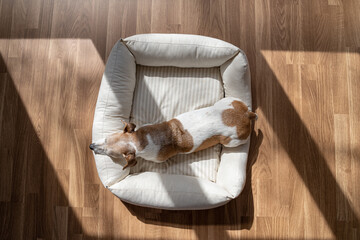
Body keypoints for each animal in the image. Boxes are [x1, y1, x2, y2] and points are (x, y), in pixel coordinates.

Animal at [91, 96, 258, 170]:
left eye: (110, 153)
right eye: (105, 139)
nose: (90, 146)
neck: (140, 140)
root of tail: (247, 114)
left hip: (232, 141)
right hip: (227, 100)